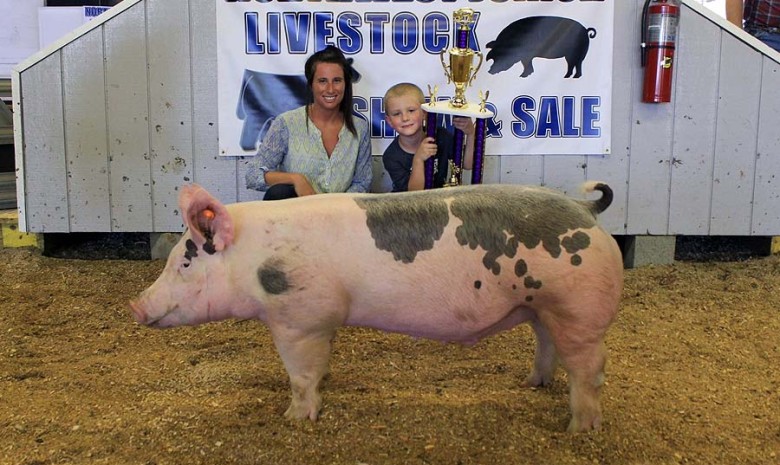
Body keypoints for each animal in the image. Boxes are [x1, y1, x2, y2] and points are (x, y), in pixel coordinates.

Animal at [131, 181, 624, 432]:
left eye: (185, 261)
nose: (135, 306)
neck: (257, 260)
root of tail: (586, 209)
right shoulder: (321, 322)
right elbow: (320, 367)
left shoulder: (298, 318)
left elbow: (301, 375)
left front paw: (294, 419)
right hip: (540, 307)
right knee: (547, 345)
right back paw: (532, 384)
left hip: (577, 309)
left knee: (591, 369)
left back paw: (579, 430)